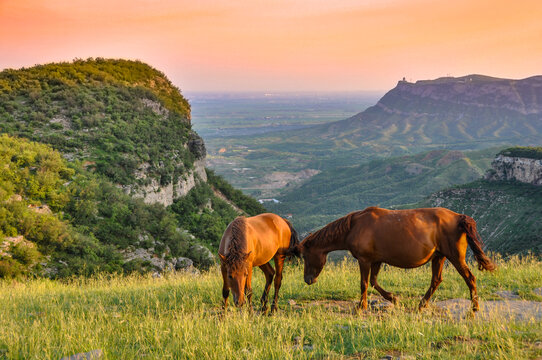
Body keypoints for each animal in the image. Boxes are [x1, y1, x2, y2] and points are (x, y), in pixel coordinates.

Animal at [294, 207, 498, 310]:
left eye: (305, 256)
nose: (307, 280)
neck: (354, 226)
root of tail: (459, 218)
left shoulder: (365, 260)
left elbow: (364, 283)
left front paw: (361, 306)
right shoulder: (376, 260)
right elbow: (374, 282)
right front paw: (393, 298)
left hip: (455, 257)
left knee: (470, 278)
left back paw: (474, 308)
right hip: (439, 257)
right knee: (436, 280)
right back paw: (421, 304)